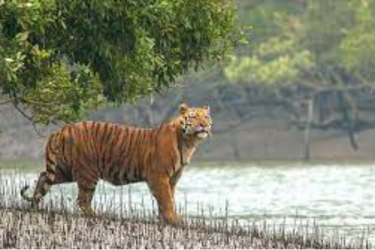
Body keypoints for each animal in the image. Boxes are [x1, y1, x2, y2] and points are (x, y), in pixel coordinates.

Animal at [21, 103, 212, 225]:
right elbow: (166, 200)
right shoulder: (159, 176)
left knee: (43, 177)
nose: (204, 125)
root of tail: (62, 129)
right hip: (88, 172)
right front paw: (174, 220)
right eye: (194, 116)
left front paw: (165, 219)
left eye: (206, 117)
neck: (189, 142)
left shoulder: (171, 179)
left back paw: (34, 206)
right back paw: (97, 216)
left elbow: (168, 199)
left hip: (65, 170)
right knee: (82, 199)